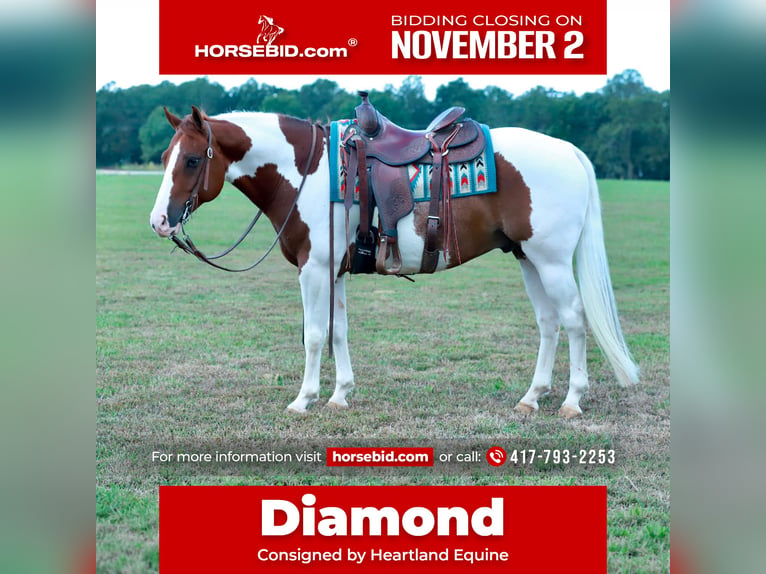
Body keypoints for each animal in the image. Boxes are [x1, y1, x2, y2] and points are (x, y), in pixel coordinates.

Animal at [149, 105, 639, 418]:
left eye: (191, 160)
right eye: (165, 157)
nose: (159, 221)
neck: (306, 170)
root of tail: (568, 150)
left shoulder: (314, 269)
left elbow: (314, 335)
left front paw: (304, 399)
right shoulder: (335, 271)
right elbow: (338, 331)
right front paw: (340, 395)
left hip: (551, 262)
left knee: (573, 320)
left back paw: (572, 401)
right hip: (527, 258)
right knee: (548, 323)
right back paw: (532, 397)